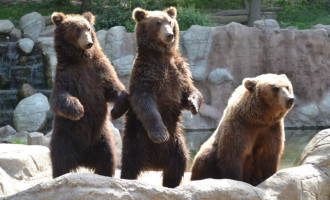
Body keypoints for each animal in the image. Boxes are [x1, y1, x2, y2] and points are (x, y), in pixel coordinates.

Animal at [49, 11, 128, 178]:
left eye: (88, 28)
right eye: (77, 29)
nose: (89, 43)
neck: (80, 58)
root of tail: (83, 159)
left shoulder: (99, 70)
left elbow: (114, 87)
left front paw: (115, 112)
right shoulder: (66, 75)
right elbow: (59, 97)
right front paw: (78, 110)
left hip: (102, 138)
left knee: (108, 159)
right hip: (64, 135)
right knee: (60, 159)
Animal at [120, 6, 204, 188]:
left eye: (170, 22)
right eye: (157, 23)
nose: (169, 35)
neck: (161, 55)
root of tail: (153, 164)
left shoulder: (179, 72)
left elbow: (189, 90)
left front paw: (193, 104)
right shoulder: (146, 74)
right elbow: (145, 102)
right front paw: (160, 135)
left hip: (176, 144)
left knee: (179, 163)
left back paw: (171, 184)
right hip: (137, 140)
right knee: (130, 164)